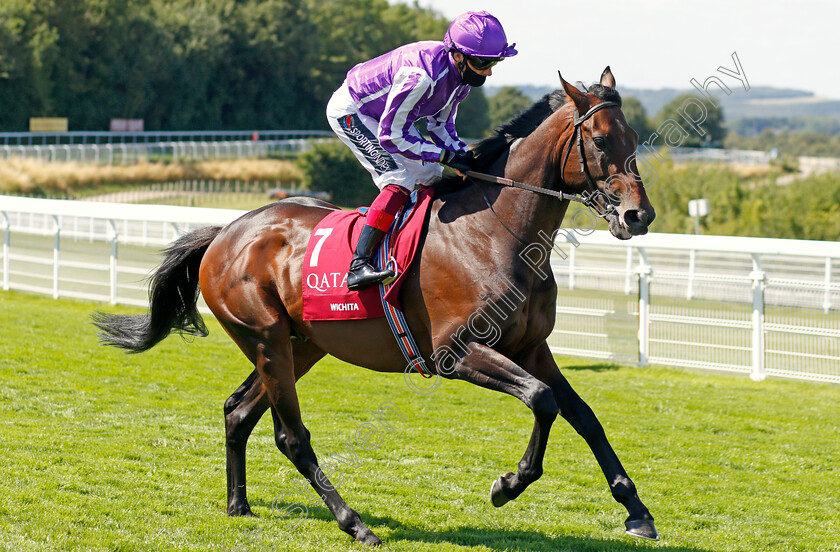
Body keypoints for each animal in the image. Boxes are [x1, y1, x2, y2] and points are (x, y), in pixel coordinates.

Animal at [93, 69, 656, 544]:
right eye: (600, 140)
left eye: (634, 141)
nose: (639, 215)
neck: (496, 233)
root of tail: (224, 232)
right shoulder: (455, 353)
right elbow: (542, 400)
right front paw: (508, 484)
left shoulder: (532, 348)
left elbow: (581, 414)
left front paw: (637, 512)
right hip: (266, 337)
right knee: (290, 435)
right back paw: (354, 522)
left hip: (302, 344)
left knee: (239, 412)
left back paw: (239, 505)